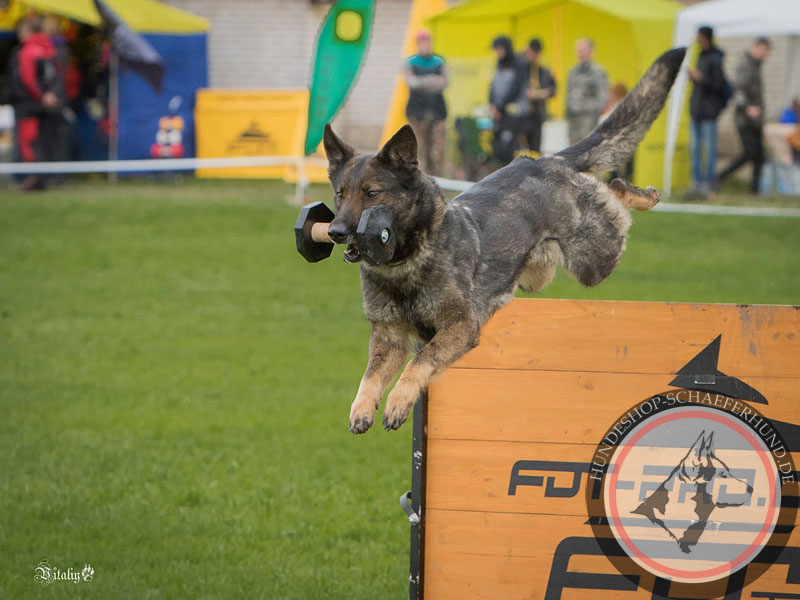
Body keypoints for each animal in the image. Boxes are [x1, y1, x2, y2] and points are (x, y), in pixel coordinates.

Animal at [322, 47, 684, 432]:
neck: (407, 263)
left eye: (372, 193)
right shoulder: (389, 338)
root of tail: (546, 160)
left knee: (614, 192)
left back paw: (642, 195)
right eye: (341, 194)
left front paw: (398, 401)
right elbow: (371, 375)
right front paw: (362, 407)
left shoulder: (460, 326)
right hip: (536, 275)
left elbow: (419, 363)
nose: (335, 232)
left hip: (595, 259)